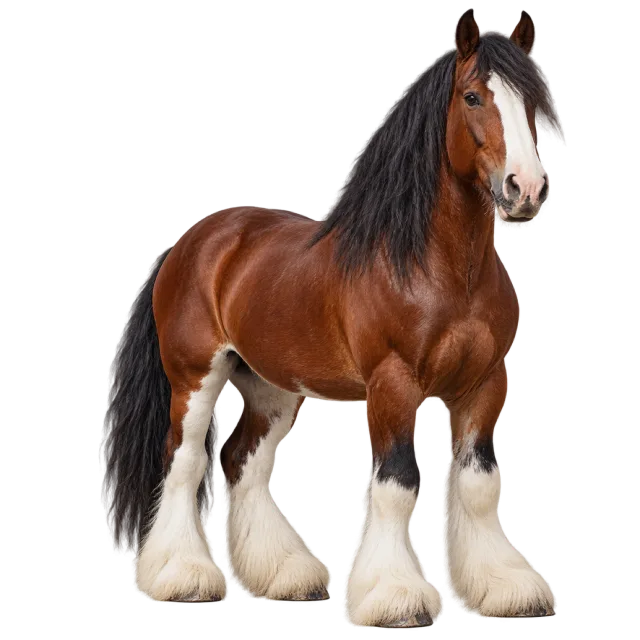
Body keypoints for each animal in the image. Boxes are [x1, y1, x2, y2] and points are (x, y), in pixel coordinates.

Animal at [102, 9, 563, 627]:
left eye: (531, 100)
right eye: (472, 97)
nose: (527, 189)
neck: (437, 269)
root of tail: (194, 242)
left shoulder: (484, 385)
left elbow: (479, 486)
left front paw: (508, 590)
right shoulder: (393, 384)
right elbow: (397, 483)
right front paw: (397, 597)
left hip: (272, 388)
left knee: (241, 464)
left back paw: (288, 578)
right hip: (193, 379)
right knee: (184, 462)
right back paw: (185, 579)